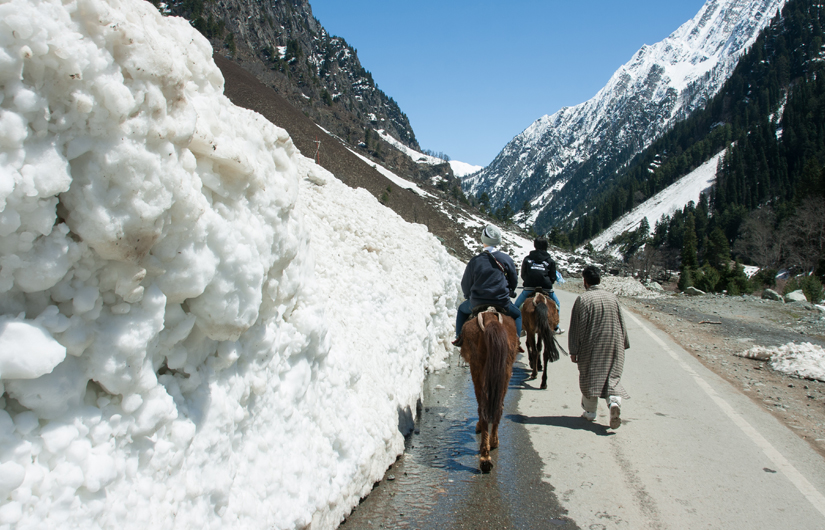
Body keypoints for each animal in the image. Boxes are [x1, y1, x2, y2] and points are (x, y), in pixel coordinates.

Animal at [458, 306, 516, 470]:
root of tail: (490, 319)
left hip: (477, 369)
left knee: (483, 409)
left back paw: (485, 456)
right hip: (505, 371)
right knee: (497, 408)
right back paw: (492, 444)